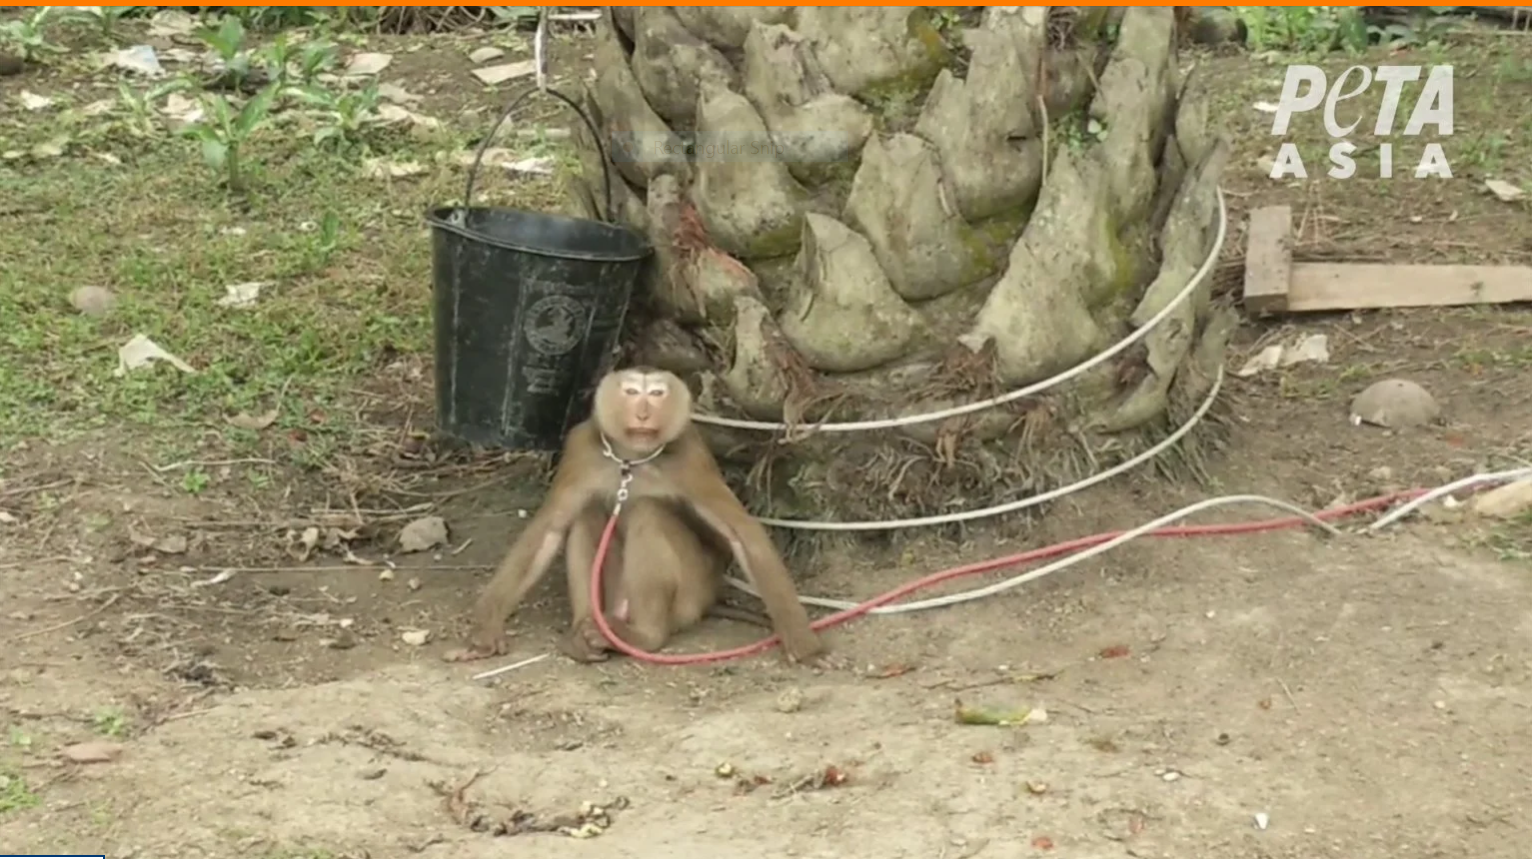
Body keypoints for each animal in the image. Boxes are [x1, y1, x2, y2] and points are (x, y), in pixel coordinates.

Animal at [446, 366, 825, 664]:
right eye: (631, 392)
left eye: (656, 393)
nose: (643, 413)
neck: (630, 459)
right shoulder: (580, 451)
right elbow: (549, 530)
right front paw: (484, 633)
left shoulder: (691, 458)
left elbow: (740, 534)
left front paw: (804, 646)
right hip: (617, 595)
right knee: (588, 514)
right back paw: (586, 631)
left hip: (692, 595)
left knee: (649, 512)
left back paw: (644, 635)